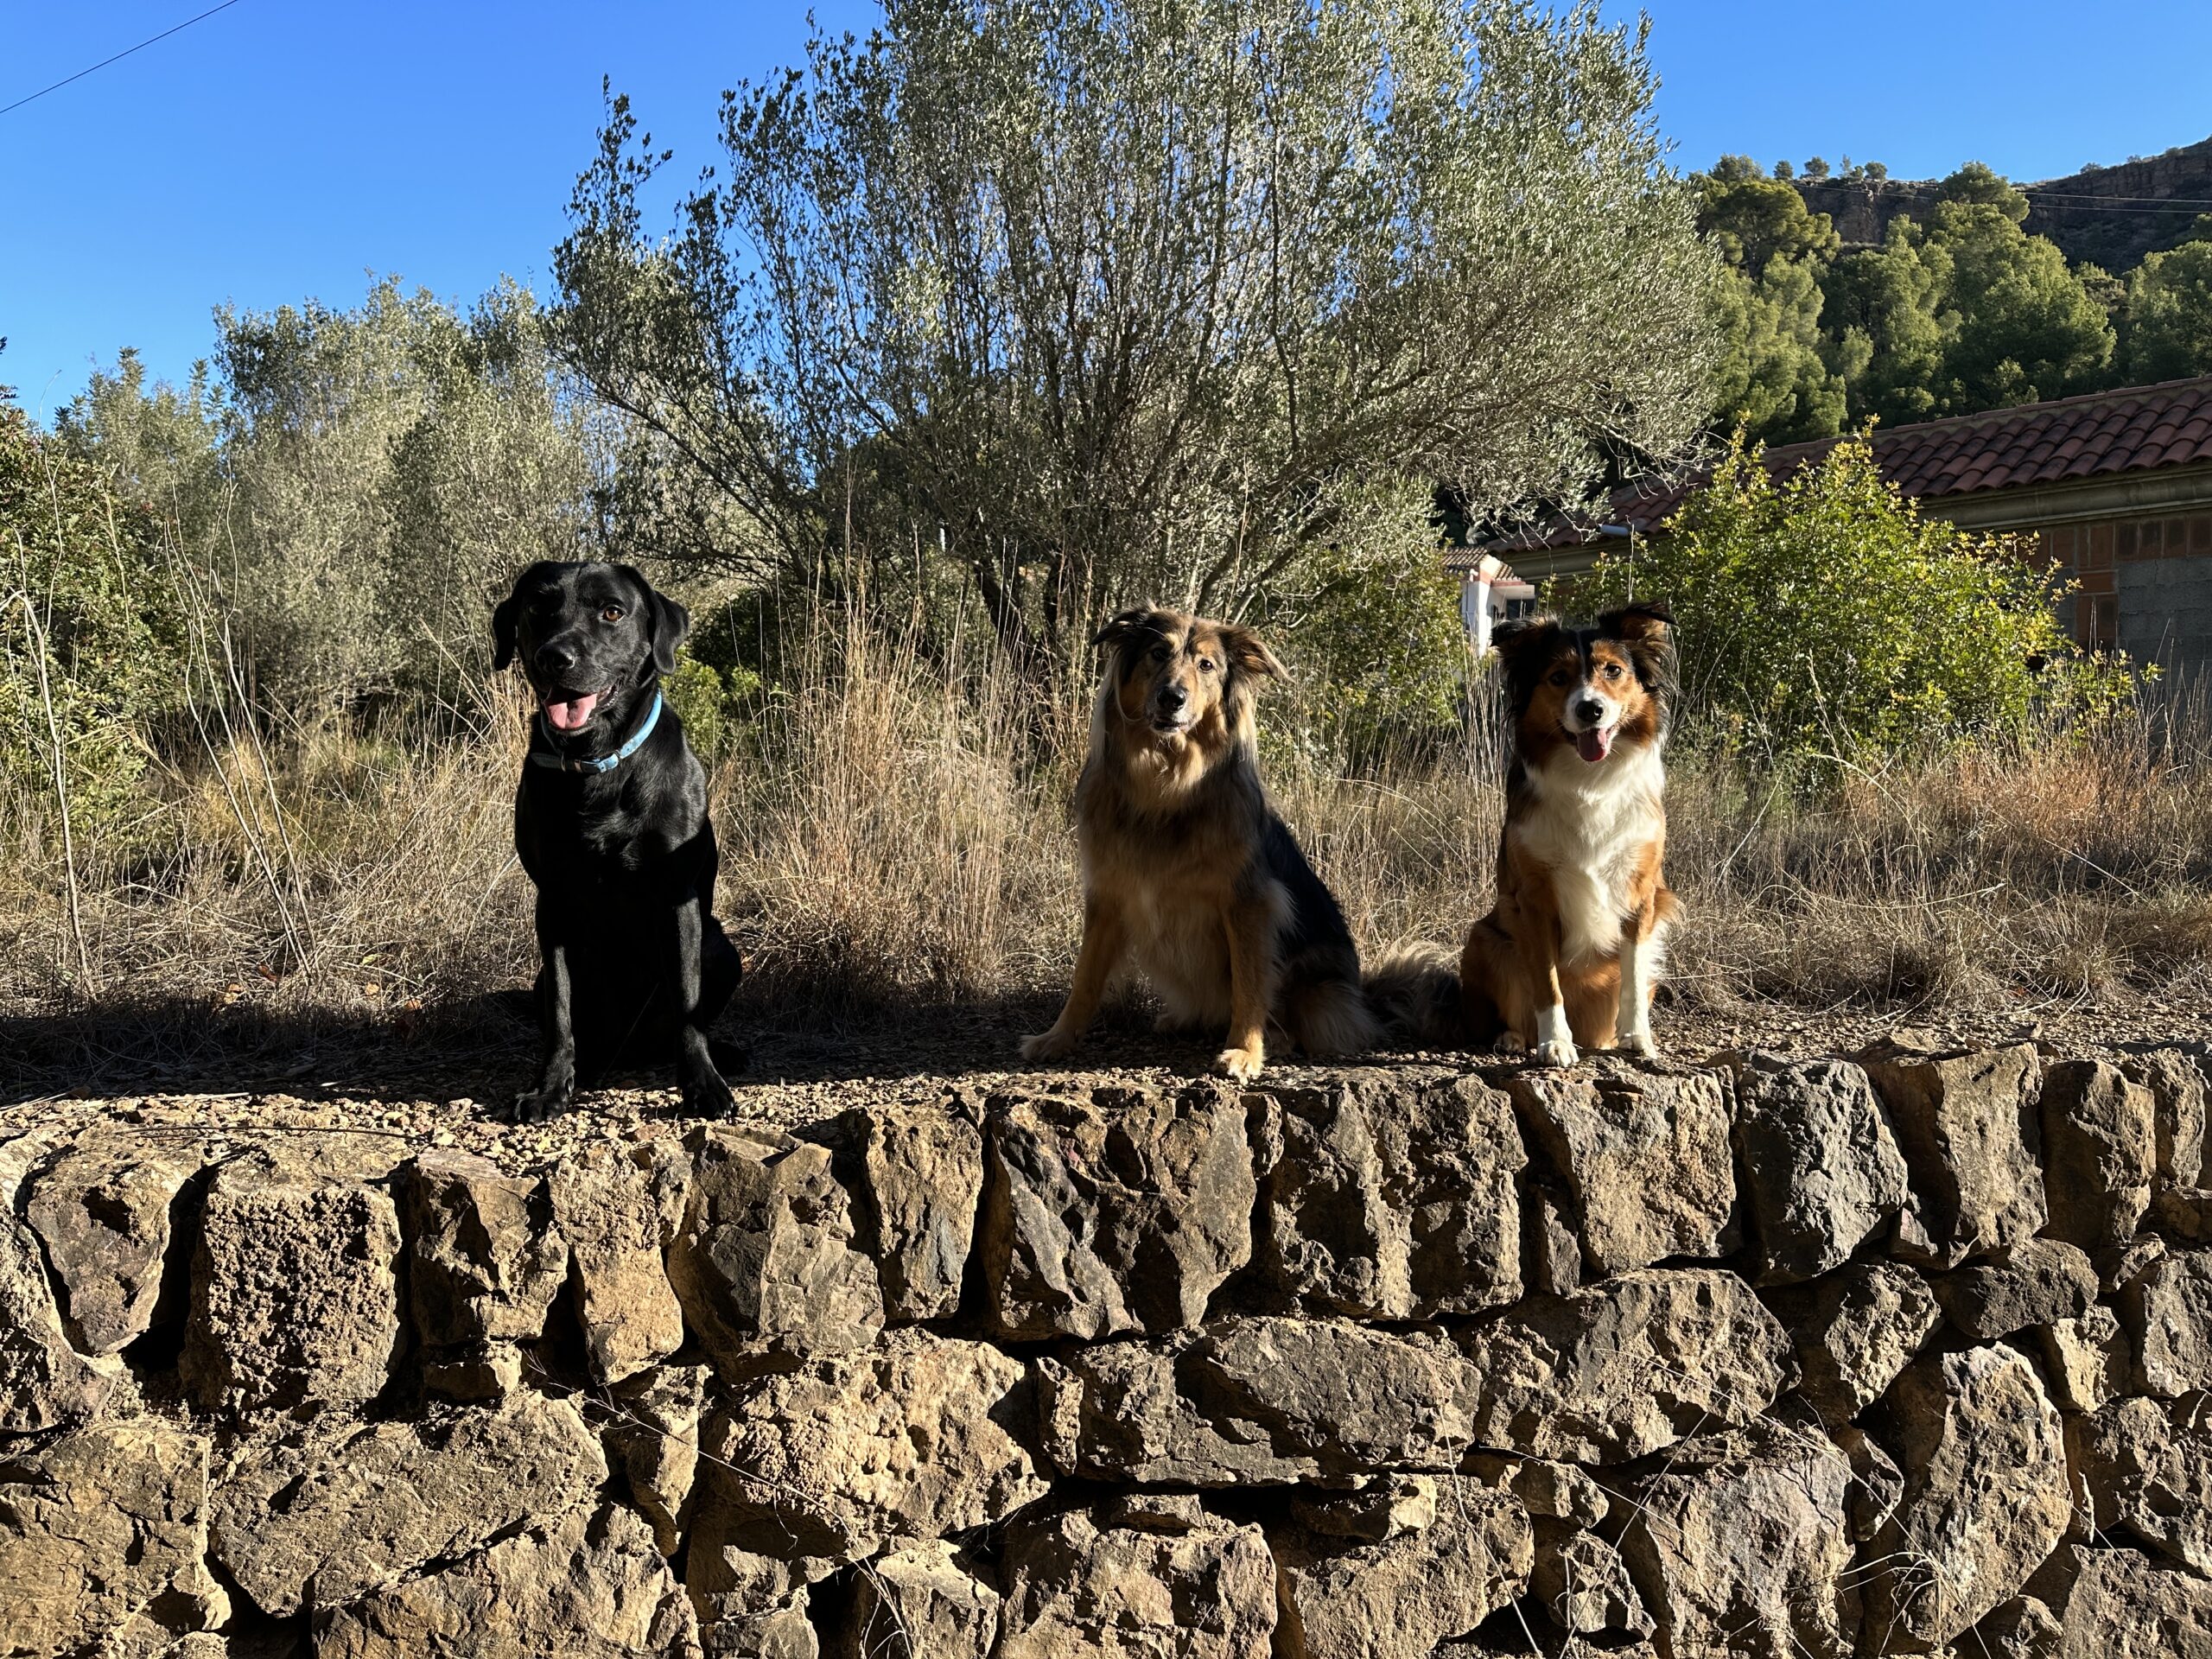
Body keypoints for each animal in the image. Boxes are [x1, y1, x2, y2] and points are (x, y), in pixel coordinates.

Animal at [493, 559, 743, 1119]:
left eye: (612, 611)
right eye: (537, 607)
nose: (554, 657)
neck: (599, 761)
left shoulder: (678, 898)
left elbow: (686, 998)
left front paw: (702, 1084)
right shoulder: (553, 903)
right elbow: (561, 1009)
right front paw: (549, 1087)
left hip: (722, 948)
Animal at [1013, 606, 1362, 1084]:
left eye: (1207, 665)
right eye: (1158, 653)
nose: (1171, 698)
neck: (1166, 783)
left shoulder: (1249, 902)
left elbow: (1249, 984)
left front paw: (1244, 1051)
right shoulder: (1107, 895)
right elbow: (1084, 978)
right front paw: (1058, 1038)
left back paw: (1273, 1038)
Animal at [1468, 606, 1672, 1071]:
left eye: (1613, 671)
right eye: (1558, 677)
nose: (1590, 709)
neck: (1589, 780)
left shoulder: (1642, 893)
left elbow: (1634, 976)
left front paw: (1638, 1036)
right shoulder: (1533, 897)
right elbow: (1547, 981)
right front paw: (1556, 1043)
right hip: (1485, 936)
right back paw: (1513, 1038)